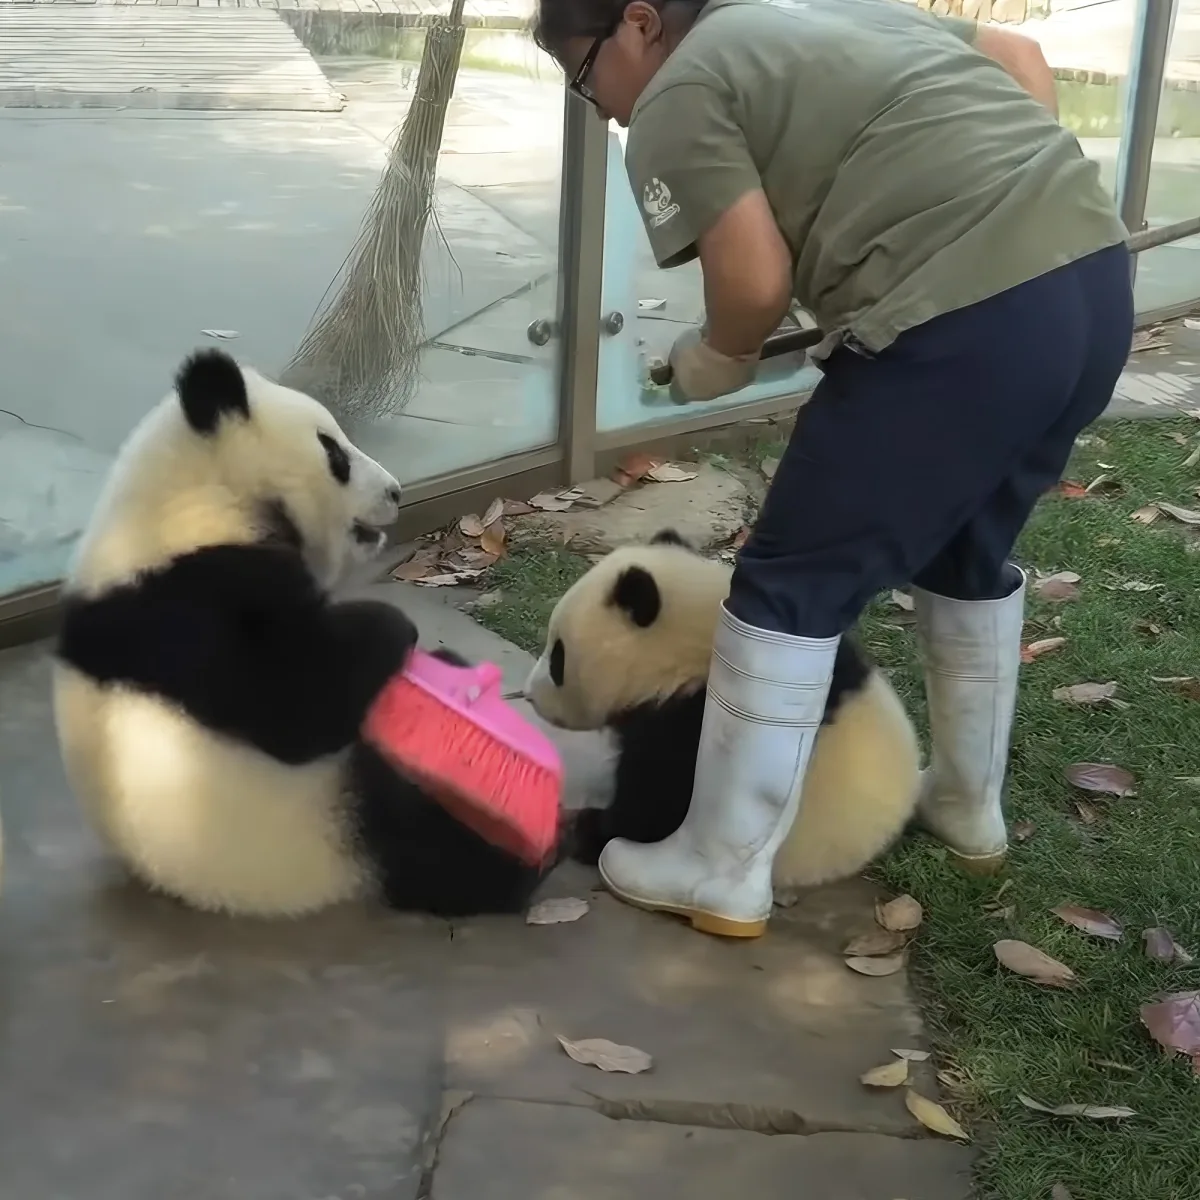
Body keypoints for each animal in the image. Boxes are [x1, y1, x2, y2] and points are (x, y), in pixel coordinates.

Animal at [52, 348, 554, 920]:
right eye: (334, 452)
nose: (395, 492)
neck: (197, 497)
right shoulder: (187, 602)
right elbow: (295, 701)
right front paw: (392, 626)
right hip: (320, 821)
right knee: (418, 837)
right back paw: (514, 862)